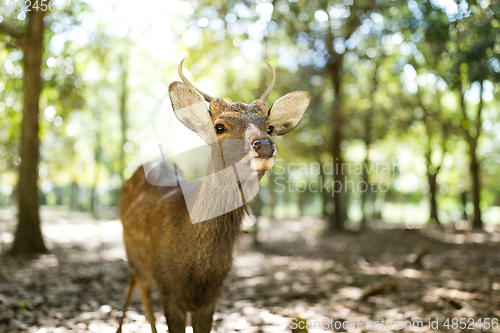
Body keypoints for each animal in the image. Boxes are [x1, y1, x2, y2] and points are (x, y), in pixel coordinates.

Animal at [117, 58, 310, 330]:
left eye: (270, 127)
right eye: (220, 126)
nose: (264, 145)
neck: (198, 272)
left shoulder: (211, 298)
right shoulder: (168, 289)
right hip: (134, 260)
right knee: (142, 297)